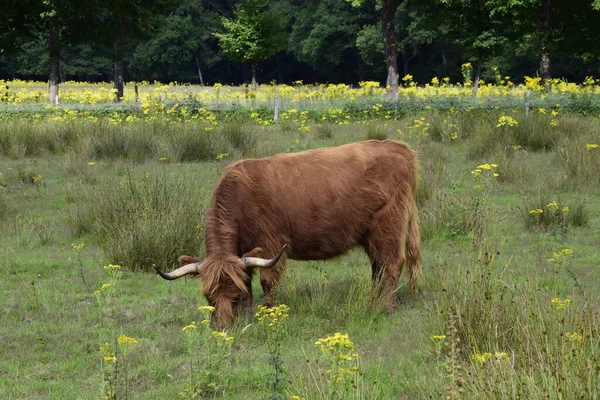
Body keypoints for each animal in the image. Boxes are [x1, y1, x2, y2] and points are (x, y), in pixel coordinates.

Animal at [155, 139, 422, 326]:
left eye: (233, 295)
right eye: (208, 297)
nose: (222, 326)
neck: (240, 198)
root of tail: (399, 148)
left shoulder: (271, 242)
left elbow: (266, 279)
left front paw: (267, 311)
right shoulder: (247, 251)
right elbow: (248, 279)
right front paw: (249, 313)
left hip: (388, 225)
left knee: (391, 264)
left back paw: (385, 306)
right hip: (370, 234)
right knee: (378, 266)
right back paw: (373, 298)